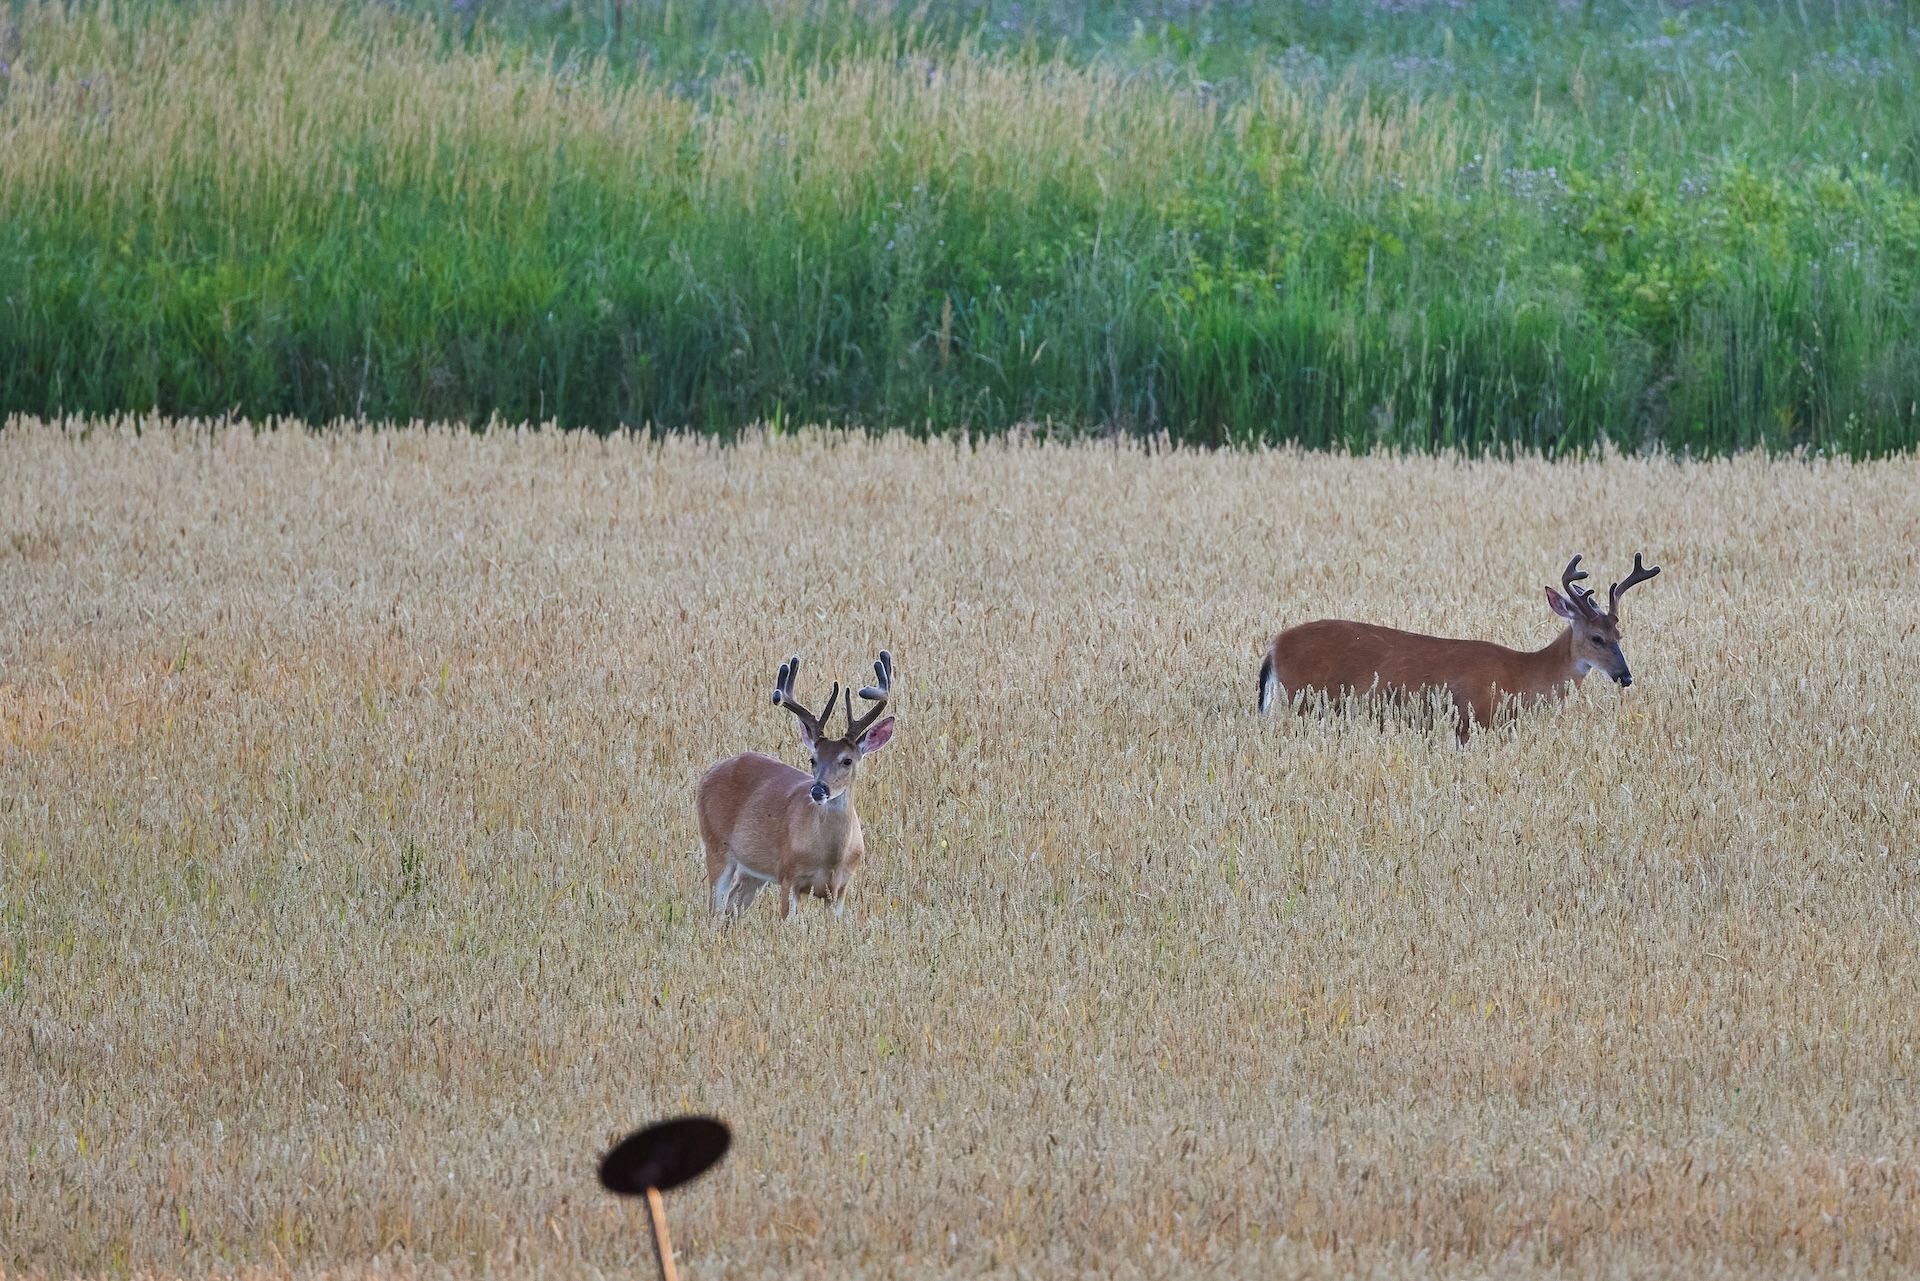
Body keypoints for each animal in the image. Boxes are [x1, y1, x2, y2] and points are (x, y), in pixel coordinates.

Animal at [697, 650, 896, 919]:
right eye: (813, 758)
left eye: (847, 760)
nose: (818, 790)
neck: (830, 858)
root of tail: (708, 774)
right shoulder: (788, 875)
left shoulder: (840, 888)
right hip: (716, 845)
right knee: (714, 907)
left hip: (753, 869)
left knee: (733, 903)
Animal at [1257, 553, 1661, 738]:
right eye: (1596, 638)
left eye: (1620, 636)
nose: (1625, 676)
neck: (1522, 675)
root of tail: (1273, 647)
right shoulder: (1471, 716)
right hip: (1303, 699)